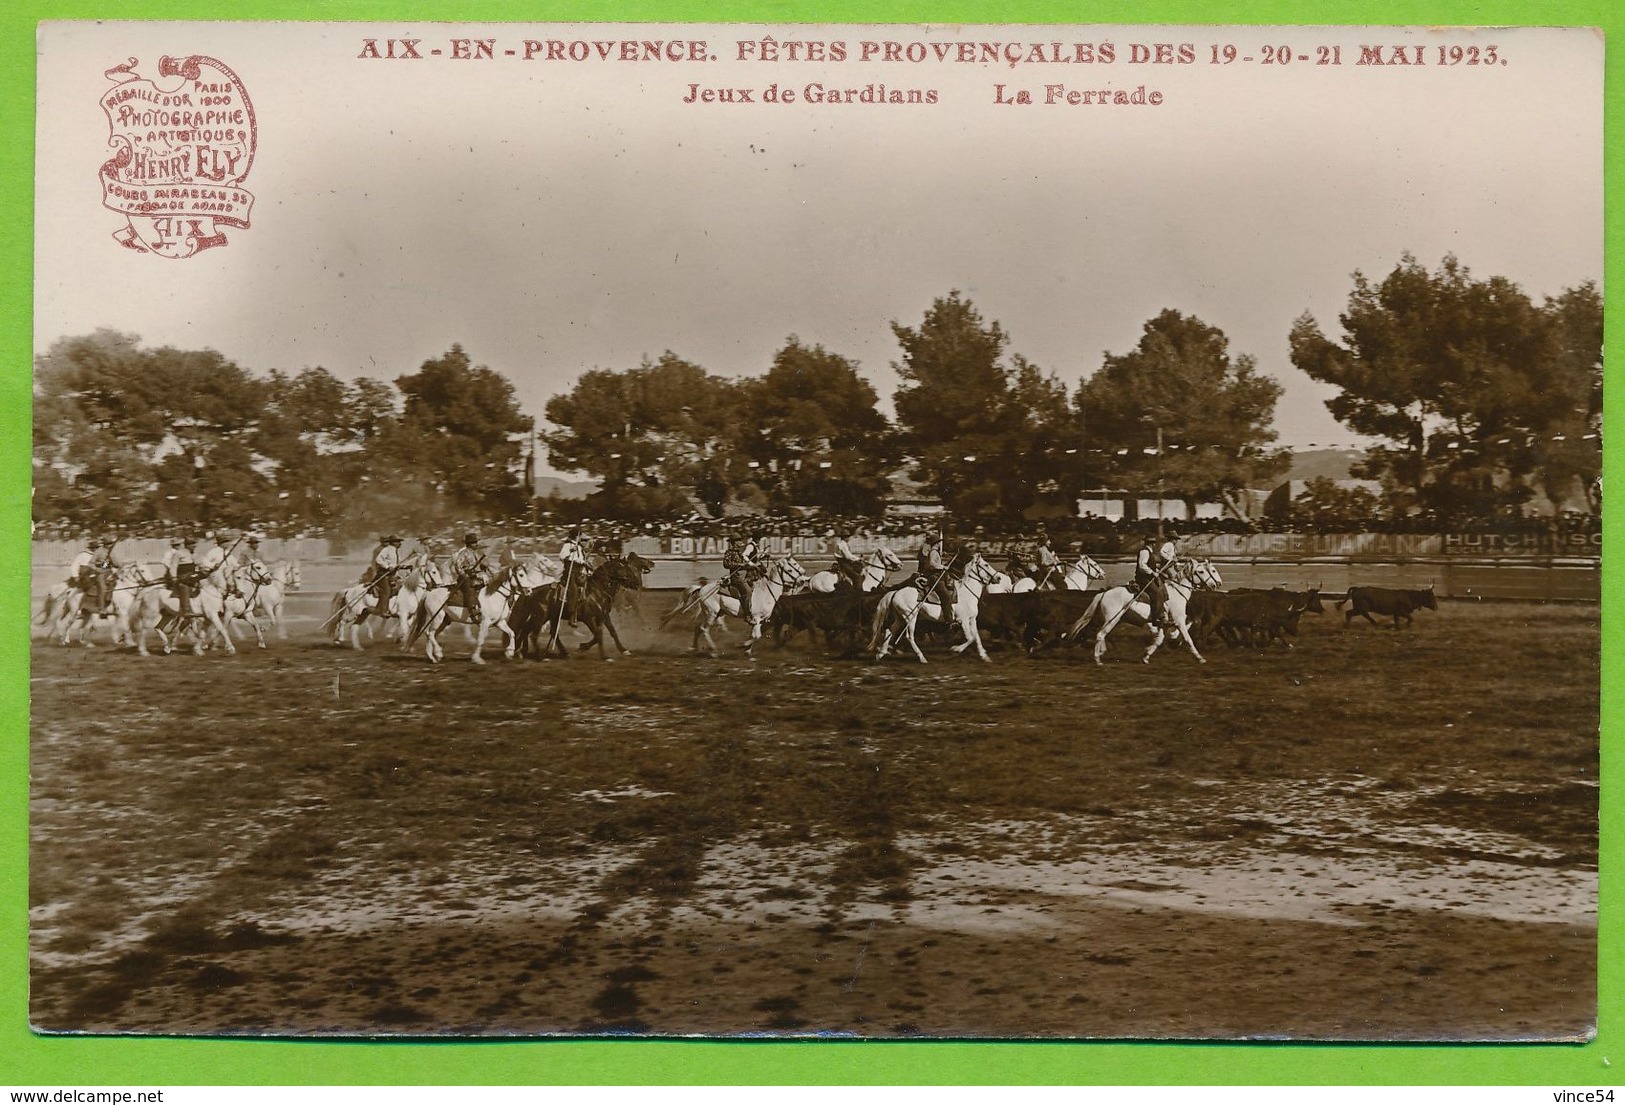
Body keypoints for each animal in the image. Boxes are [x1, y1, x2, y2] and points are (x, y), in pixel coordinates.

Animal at [864, 552, 1001, 666]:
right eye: (986, 564)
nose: (998, 578)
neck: (966, 593)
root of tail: (896, 592)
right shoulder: (964, 620)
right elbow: (970, 638)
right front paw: (956, 649)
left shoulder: (972, 619)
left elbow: (976, 637)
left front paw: (985, 657)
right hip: (910, 617)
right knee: (909, 636)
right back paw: (922, 658)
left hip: (900, 617)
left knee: (889, 631)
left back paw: (880, 654)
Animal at [1066, 562, 1222, 666]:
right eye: (1202, 572)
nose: (1216, 584)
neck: (1177, 592)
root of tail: (1104, 593)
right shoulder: (1179, 621)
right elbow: (1188, 639)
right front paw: (1199, 657)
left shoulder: (1163, 623)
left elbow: (1159, 640)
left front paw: (1146, 656)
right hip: (1112, 619)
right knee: (1100, 634)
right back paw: (1098, 660)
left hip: (1110, 619)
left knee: (1099, 633)